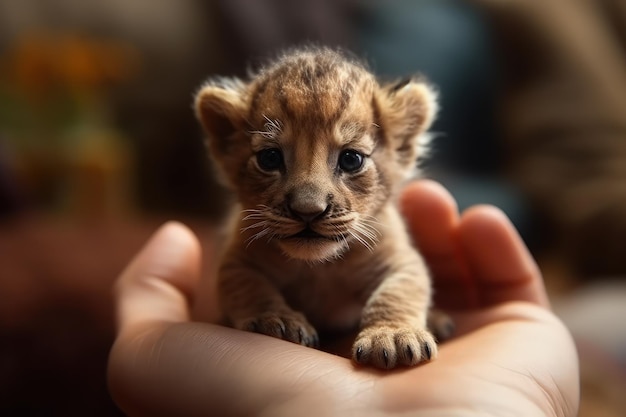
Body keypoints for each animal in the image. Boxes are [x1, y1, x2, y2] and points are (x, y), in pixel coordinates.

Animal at [195, 47, 444, 368]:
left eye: (351, 159)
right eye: (269, 158)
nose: (308, 211)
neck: (319, 268)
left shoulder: (398, 257)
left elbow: (400, 290)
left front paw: (393, 336)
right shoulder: (237, 257)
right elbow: (248, 287)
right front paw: (276, 320)